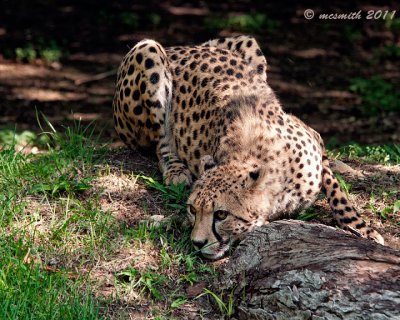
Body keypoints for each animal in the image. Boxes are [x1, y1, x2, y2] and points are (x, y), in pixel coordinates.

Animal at [112, 35, 384, 260]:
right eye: (192, 209)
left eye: (221, 215)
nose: (197, 243)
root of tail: (181, 47)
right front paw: (160, 221)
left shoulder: (314, 138)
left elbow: (337, 192)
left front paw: (363, 229)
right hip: (148, 50)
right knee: (161, 141)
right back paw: (175, 170)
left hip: (249, 44)